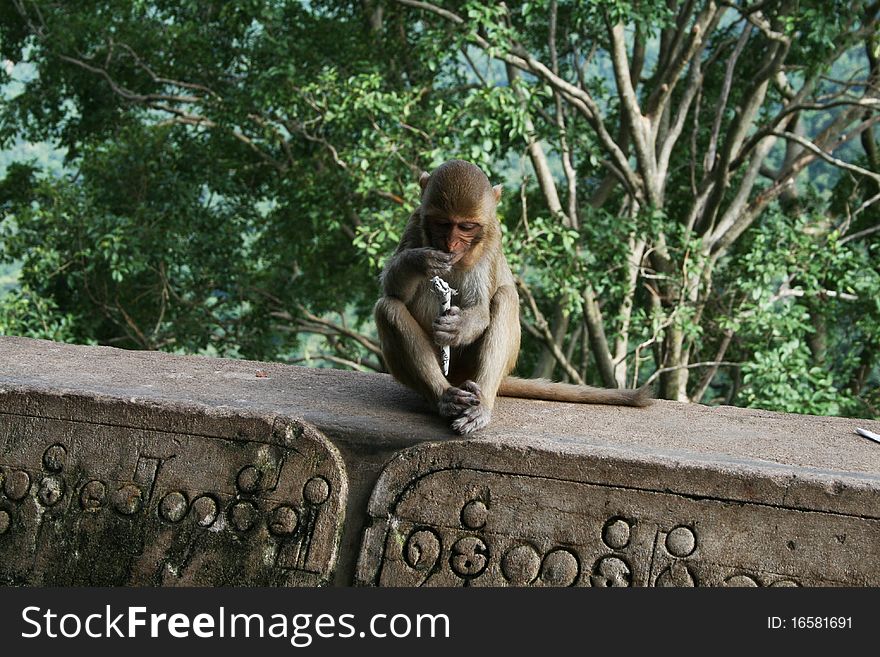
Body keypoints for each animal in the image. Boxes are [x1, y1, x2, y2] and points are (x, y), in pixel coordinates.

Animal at [374, 160, 648, 436]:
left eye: (466, 227)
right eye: (442, 223)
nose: (451, 245)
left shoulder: (492, 238)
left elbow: (480, 309)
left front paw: (457, 327)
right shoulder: (414, 221)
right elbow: (393, 291)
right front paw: (420, 260)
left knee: (505, 298)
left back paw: (482, 403)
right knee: (388, 308)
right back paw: (444, 397)